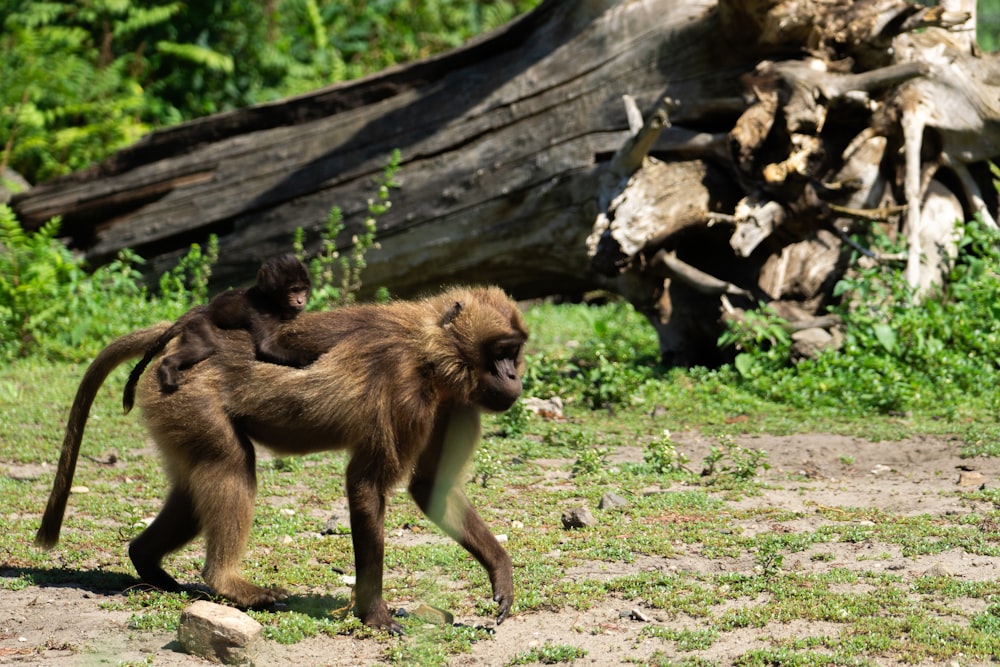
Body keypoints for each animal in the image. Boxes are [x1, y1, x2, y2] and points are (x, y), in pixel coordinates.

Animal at [35, 286, 528, 632]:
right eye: (501, 352)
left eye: (514, 353)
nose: (513, 378)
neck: (431, 351)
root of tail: (172, 343)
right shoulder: (403, 390)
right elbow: (366, 484)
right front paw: (374, 614)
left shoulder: (454, 406)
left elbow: (431, 488)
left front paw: (501, 575)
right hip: (189, 398)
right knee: (232, 465)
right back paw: (228, 583)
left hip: (174, 409)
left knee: (195, 490)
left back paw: (148, 562)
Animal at [124, 256, 312, 412]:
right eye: (293, 290)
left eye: (303, 290)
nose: (300, 300)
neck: (269, 298)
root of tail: (206, 309)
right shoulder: (263, 310)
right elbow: (266, 348)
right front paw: (308, 357)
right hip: (199, 325)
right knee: (205, 347)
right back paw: (168, 366)